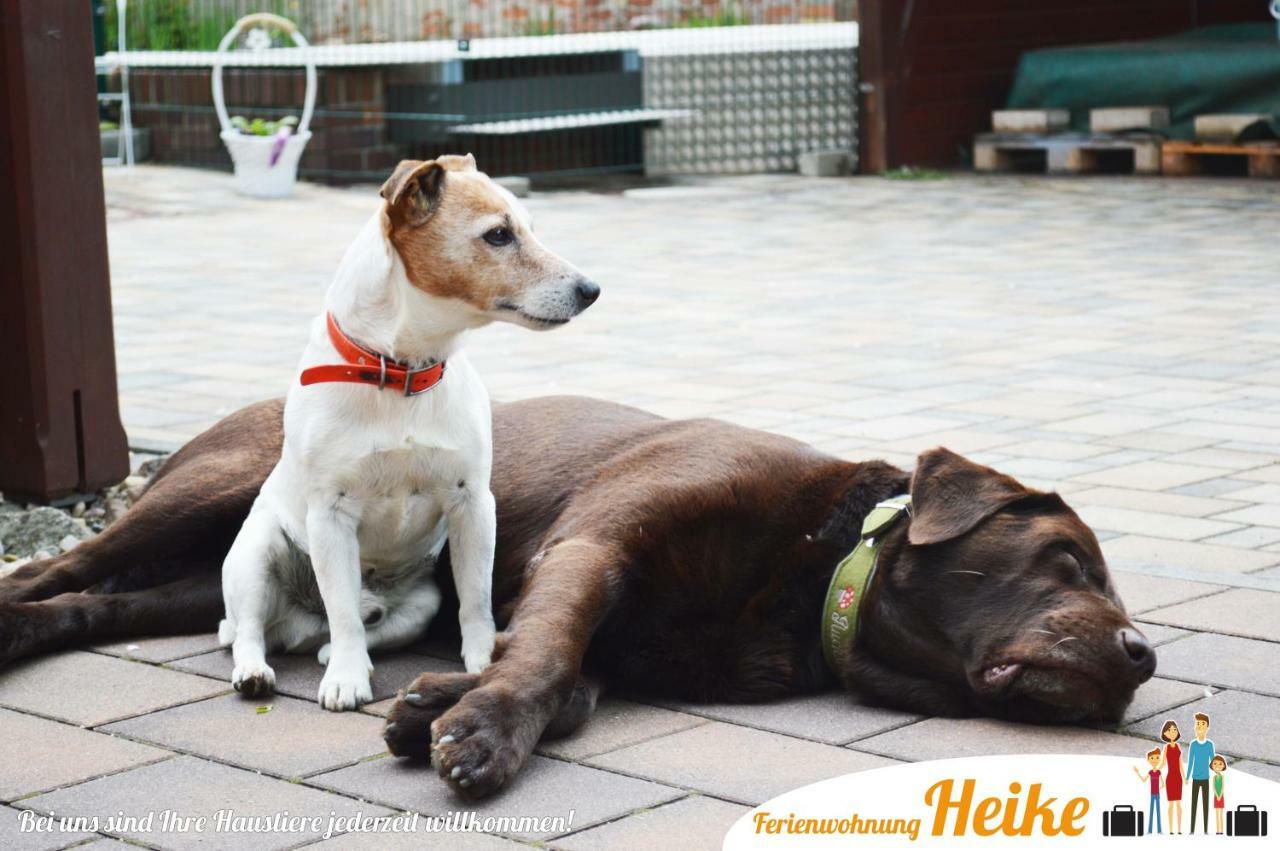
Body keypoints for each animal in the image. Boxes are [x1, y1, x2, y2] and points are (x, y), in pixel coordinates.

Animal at [0, 391, 1157, 798]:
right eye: (1066, 559)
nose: (1141, 655)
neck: (810, 570)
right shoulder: (594, 543)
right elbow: (548, 652)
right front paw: (481, 735)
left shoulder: (613, 631)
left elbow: (563, 677)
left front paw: (437, 705)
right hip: (210, 485)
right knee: (56, 568)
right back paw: (11, 614)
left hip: (216, 572)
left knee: (106, 604)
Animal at [220, 154, 599, 711]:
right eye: (499, 235)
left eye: (530, 228)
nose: (591, 290)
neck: (402, 371)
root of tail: (298, 628)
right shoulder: (330, 516)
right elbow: (343, 612)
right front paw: (347, 679)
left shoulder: (473, 503)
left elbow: (476, 601)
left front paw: (484, 662)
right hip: (255, 554)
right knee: (251, 630)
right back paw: (258, 670)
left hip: (422, 601)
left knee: (365, 624)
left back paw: (332, 648)